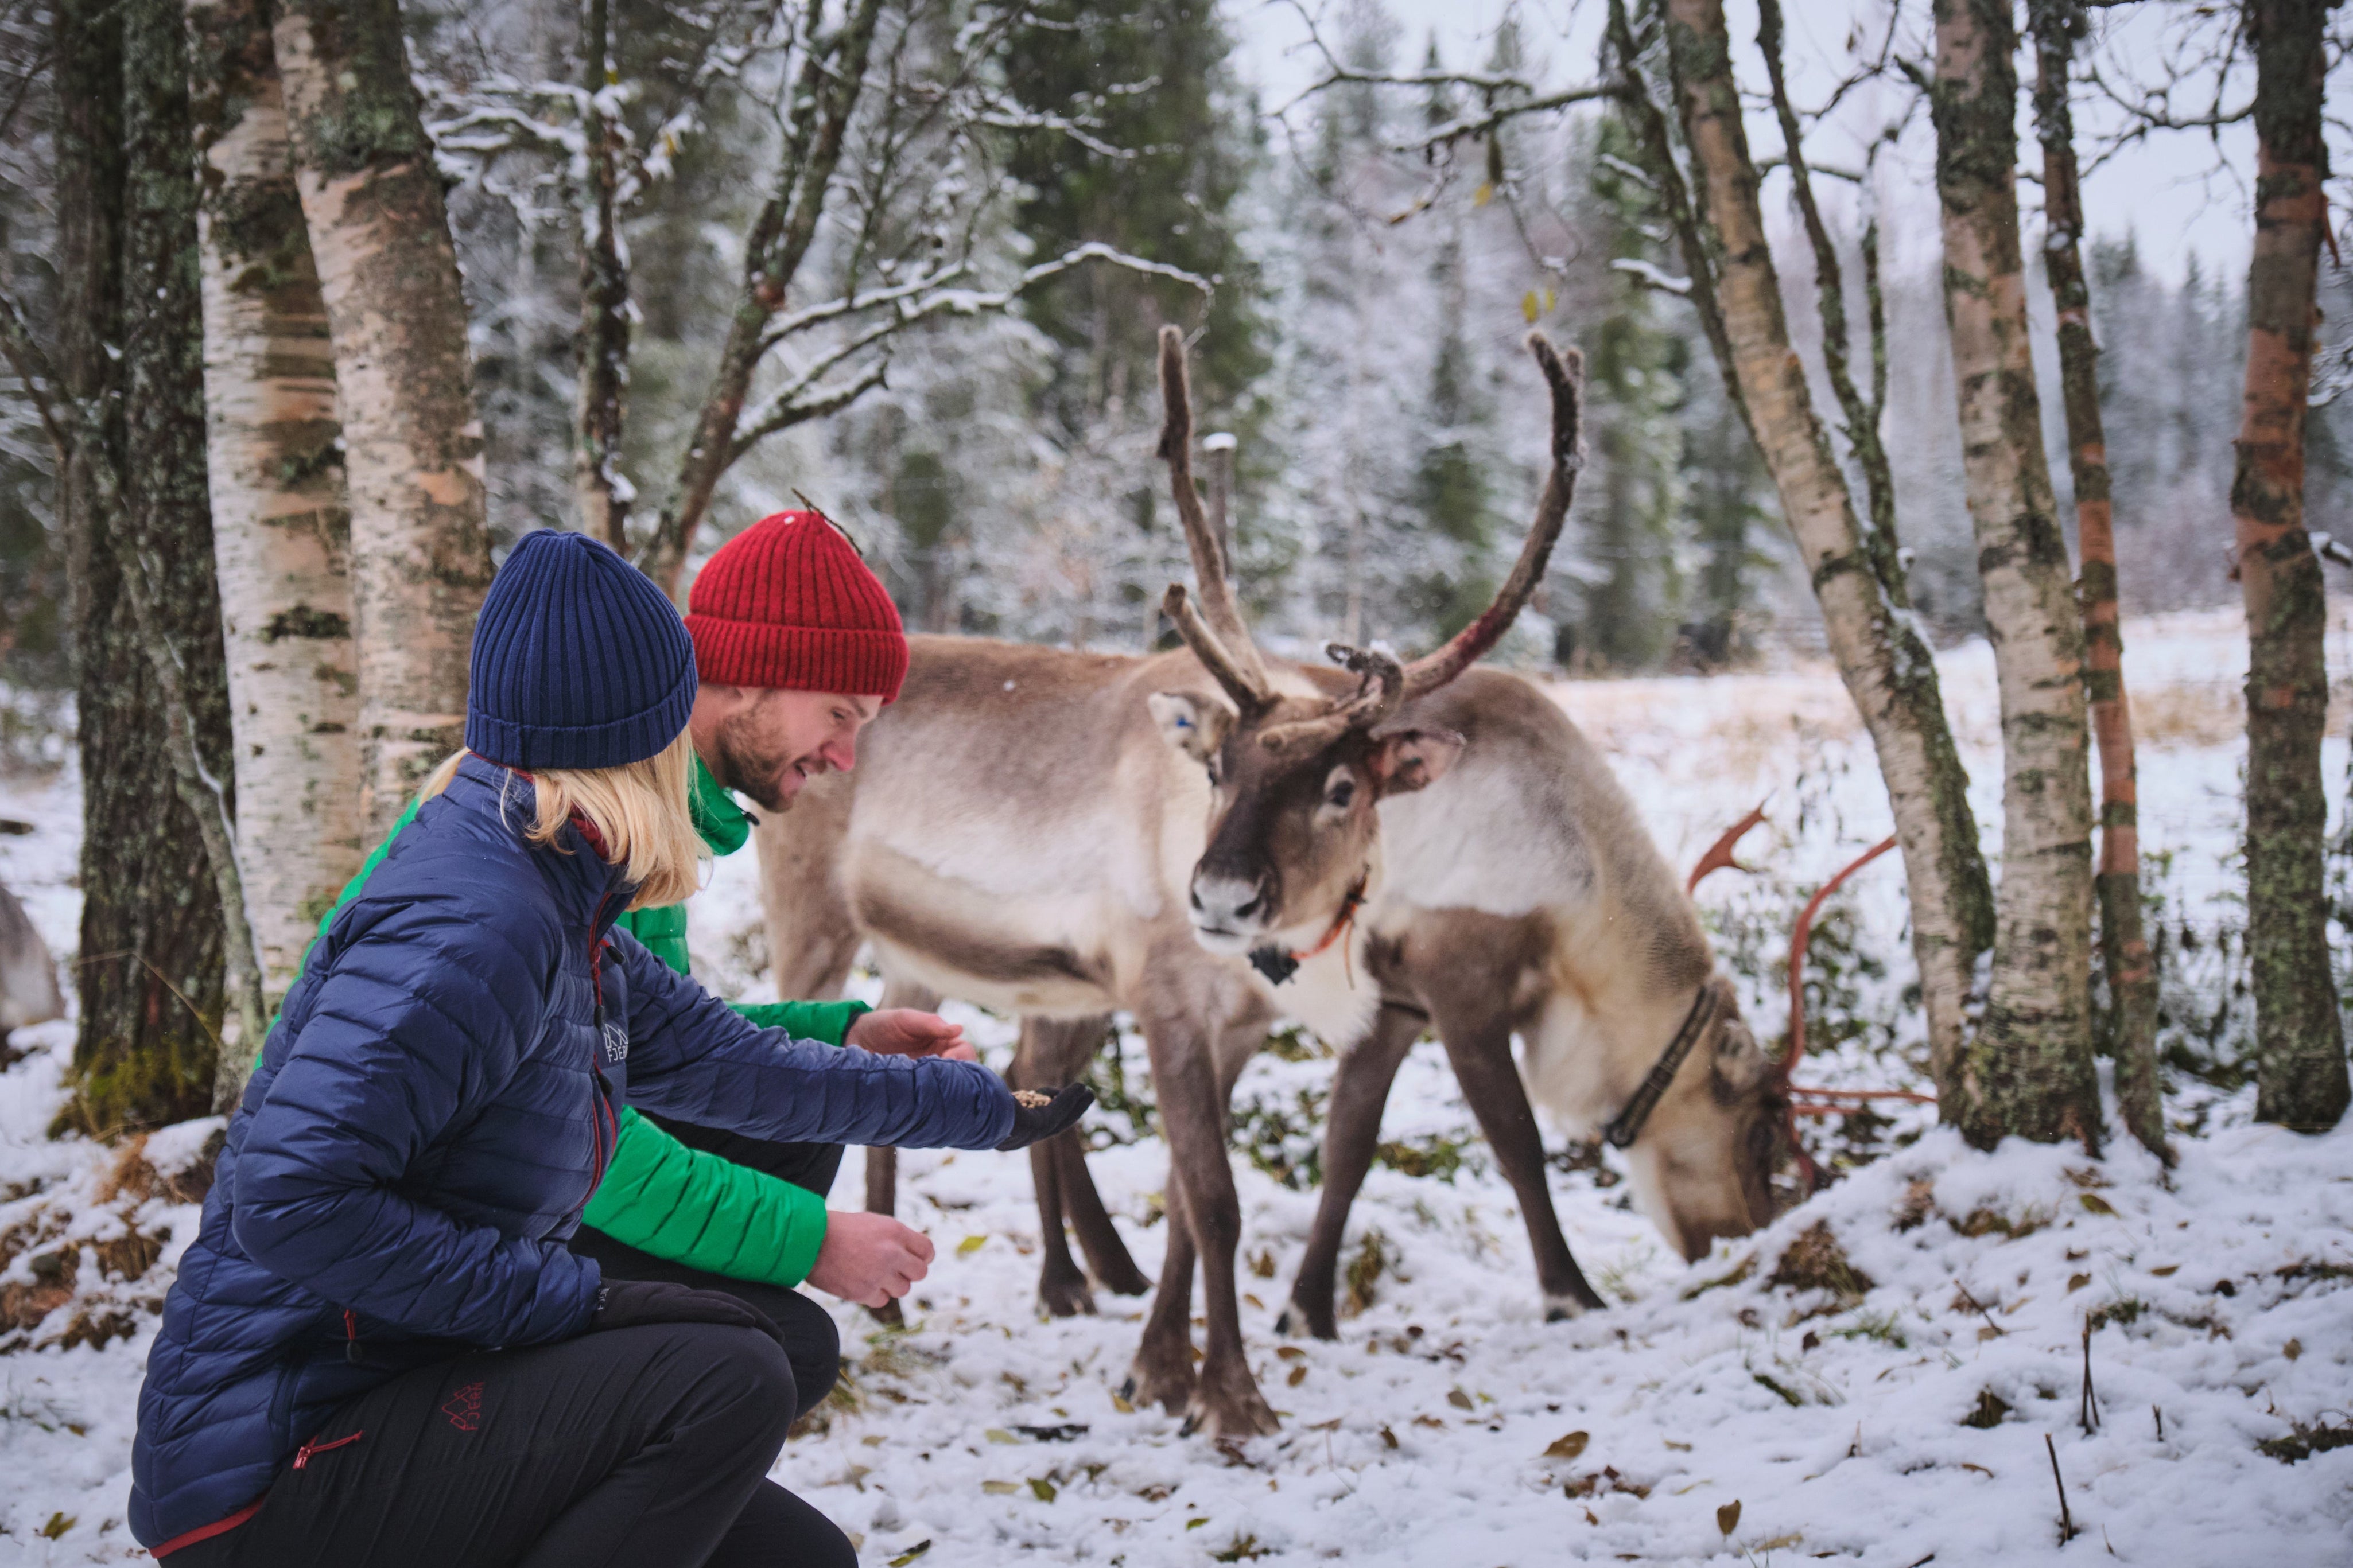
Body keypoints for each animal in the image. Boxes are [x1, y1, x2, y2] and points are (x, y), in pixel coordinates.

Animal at [754, 328, 1786, 1438]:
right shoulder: (1391, 990)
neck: (1570, 891)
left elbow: (1215, 1186)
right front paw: (1233, 1393)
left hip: (956, 957)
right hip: (814, 915)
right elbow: (1261, 1187)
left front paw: (1170, 1366)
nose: (1219, 897)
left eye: (1342, 786)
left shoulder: (1269, 1019)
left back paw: (990, 1290)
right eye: (1218, 769)